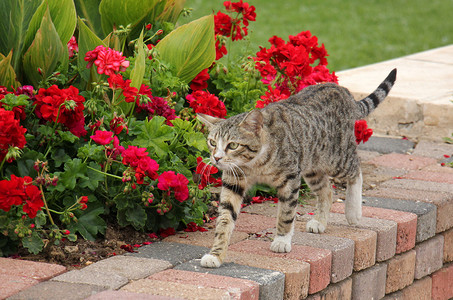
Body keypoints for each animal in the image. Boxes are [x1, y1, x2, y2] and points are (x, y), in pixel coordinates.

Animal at [198, 68, 396, 268]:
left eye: (232, 145)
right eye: (212, 142)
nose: (216, 158)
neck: (254, 165)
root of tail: (342, 91)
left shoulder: (290, 178)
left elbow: (286, 213)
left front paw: (281, 240)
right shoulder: (234, 181)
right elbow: (225, 218)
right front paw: (216, 254)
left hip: (337, 158)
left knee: (356, 169)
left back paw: (353, 211)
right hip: (312, 166)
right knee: (326, 190)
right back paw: (320, 221)